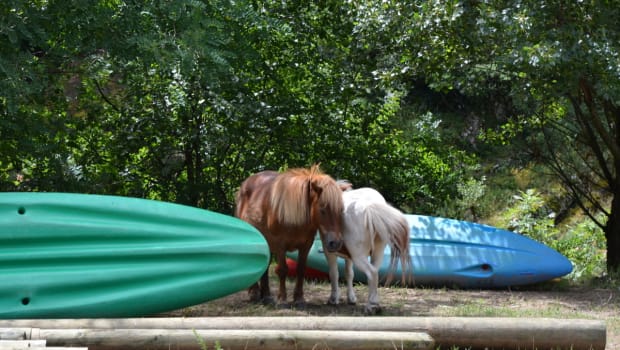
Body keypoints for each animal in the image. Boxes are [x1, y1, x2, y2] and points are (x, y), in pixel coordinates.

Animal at [236, 165, 346, 306]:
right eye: (322, 209)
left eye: (341, 210)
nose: (336, 243)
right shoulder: (280, 245)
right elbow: (283, 270)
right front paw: (282, 298)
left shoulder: (306, 245)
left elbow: (301, 269)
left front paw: (299, 298)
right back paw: (254, 293)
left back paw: (266, 296)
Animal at [324, 186, 412, 314]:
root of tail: (369, 207)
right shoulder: (348, 256)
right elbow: (349, 273)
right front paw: (351, 298)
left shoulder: (329, 251)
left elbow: (334, 273)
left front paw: (333, 298)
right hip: (377, 253)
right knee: (374, 273)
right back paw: (374, 303)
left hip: (359, 256)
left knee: (372, 272)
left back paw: (372, 306)